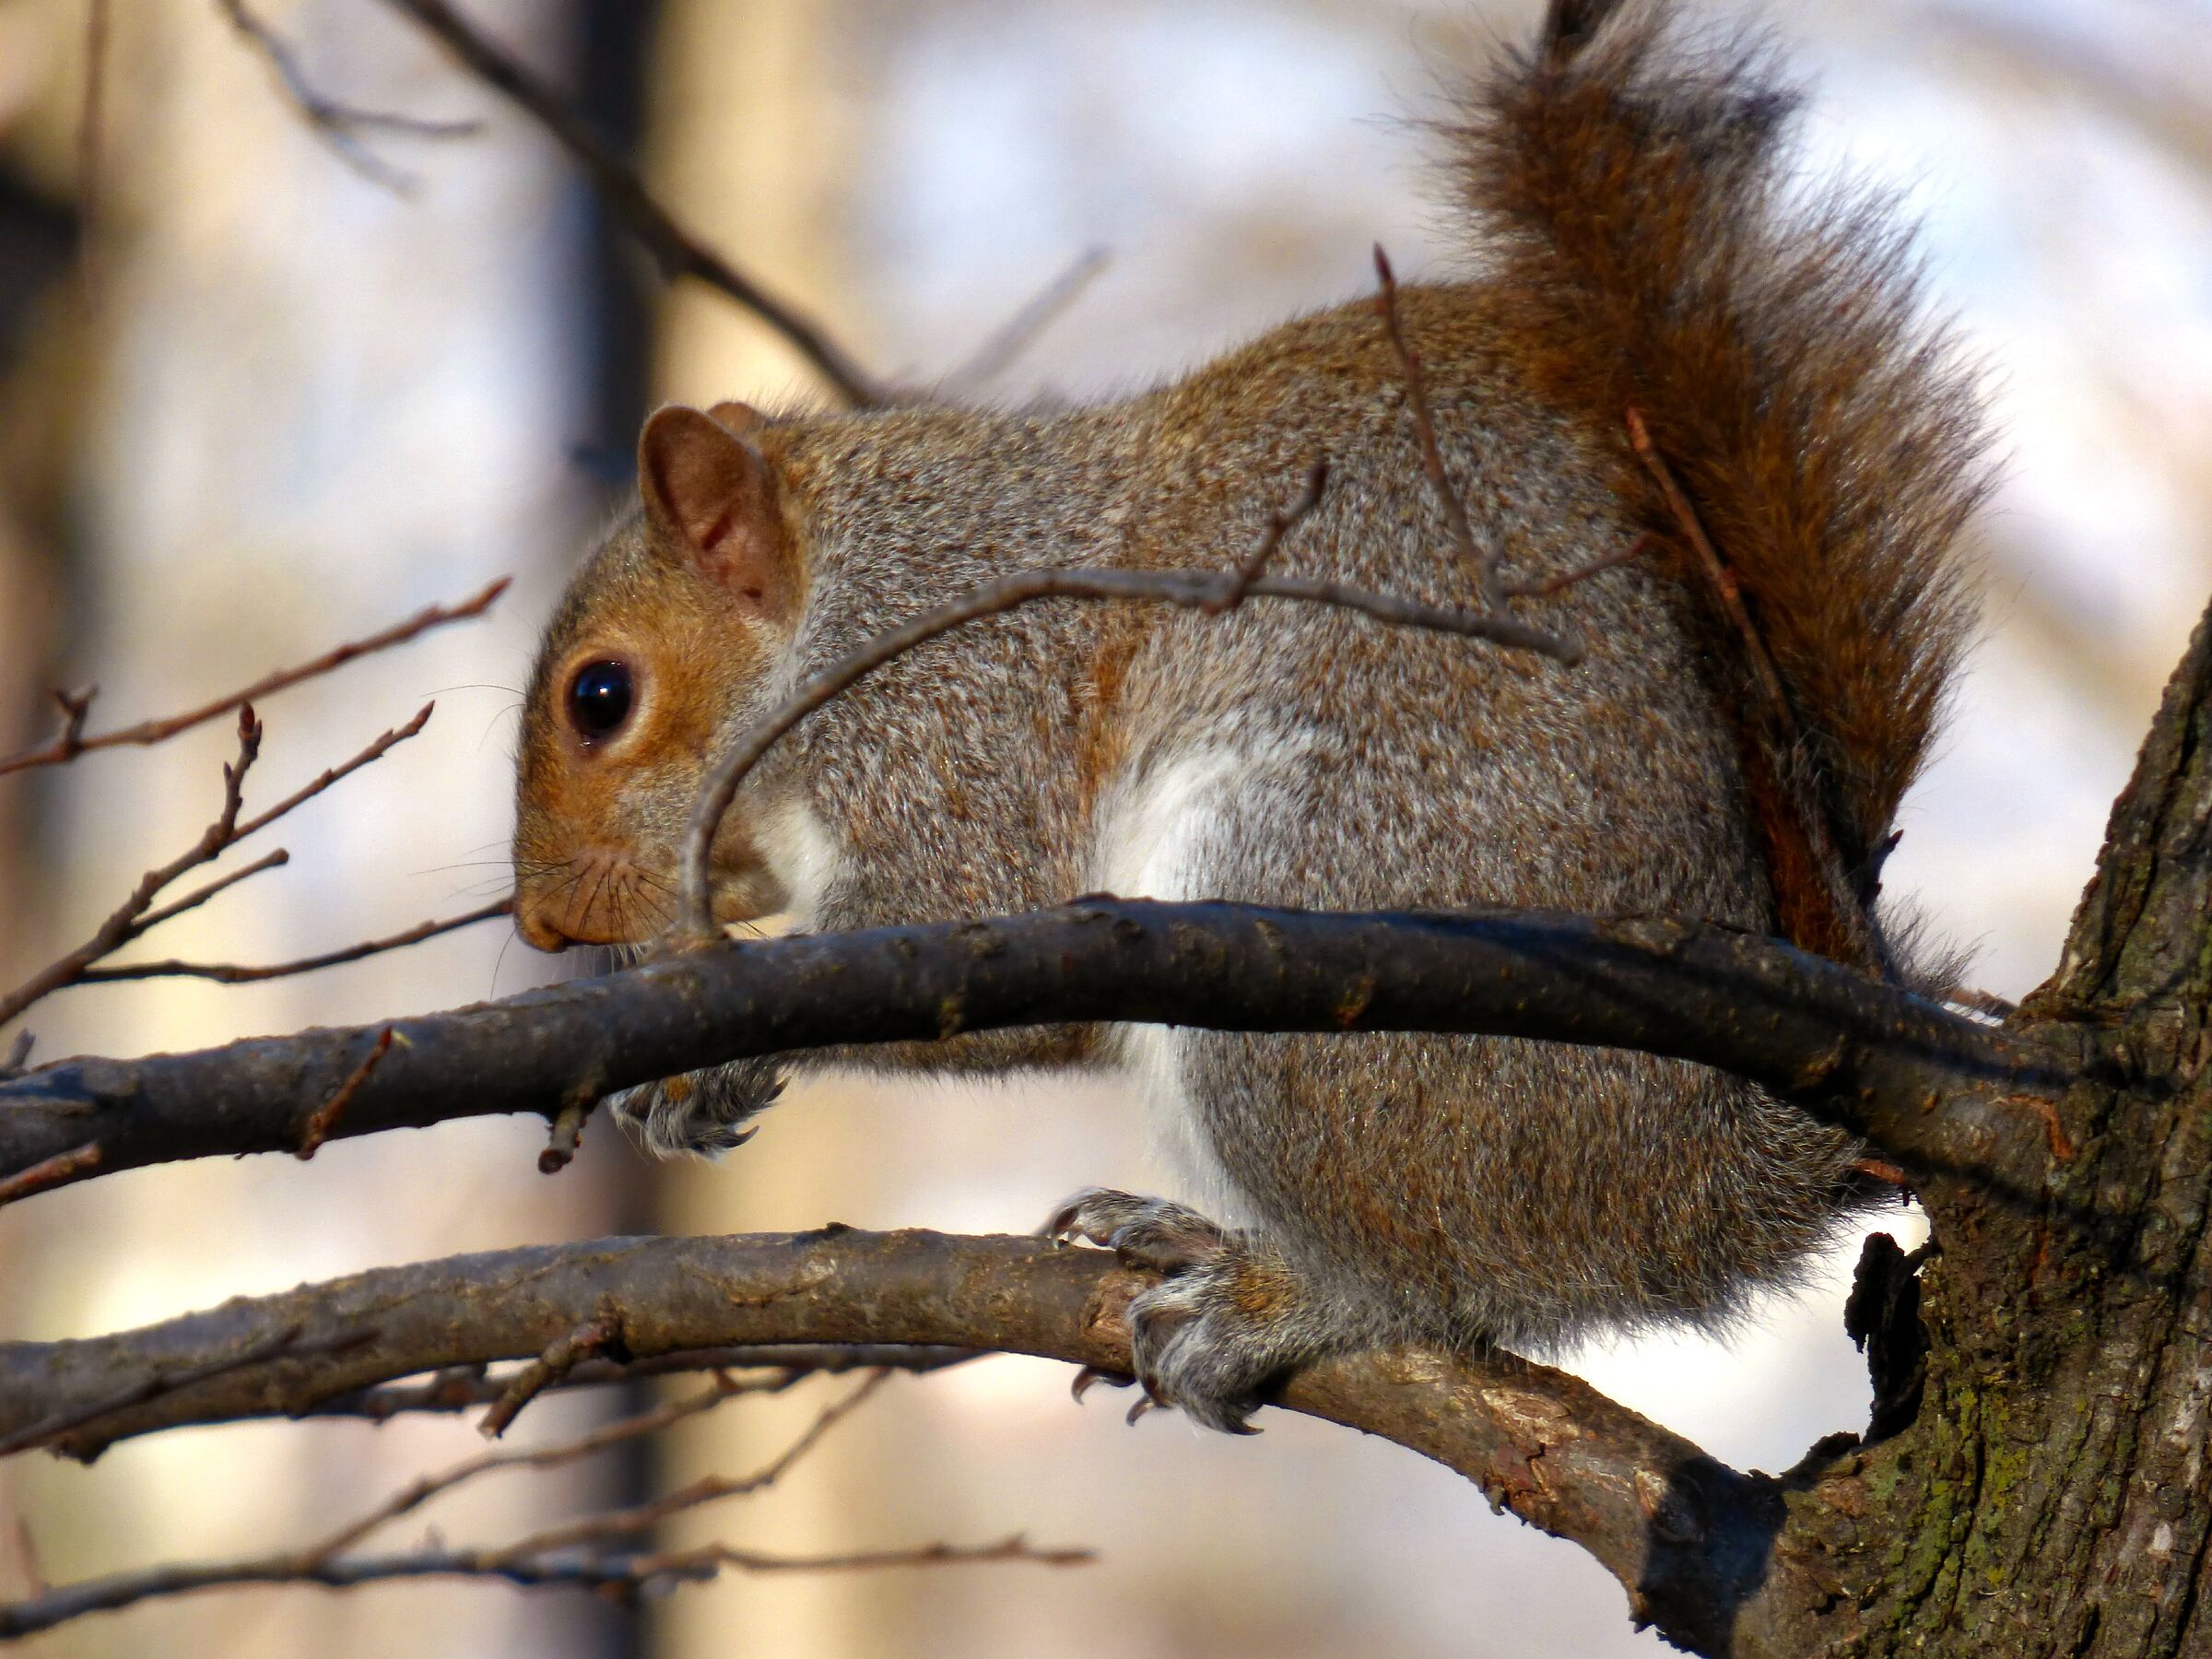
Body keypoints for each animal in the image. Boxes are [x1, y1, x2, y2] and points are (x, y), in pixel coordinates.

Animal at [511, 0, 1987, 1432]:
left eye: (601, 699)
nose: (541, 923)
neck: (855, 603)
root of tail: (1740, 1153)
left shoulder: (956, 729)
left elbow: (953, 939)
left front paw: (710, 1046)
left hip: (1314, 948)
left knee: (1446, 1275)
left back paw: (1276, 1299)